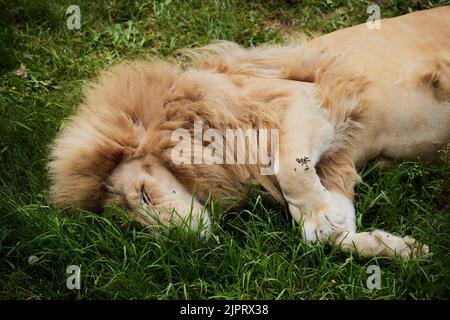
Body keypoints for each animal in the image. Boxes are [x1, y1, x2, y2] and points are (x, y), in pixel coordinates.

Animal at [47, 6, 448, 258]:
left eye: (144, 196)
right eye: (132, 225)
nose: (179, 245)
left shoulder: (309, 97)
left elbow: (289, 168)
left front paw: (321, 219)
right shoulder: (338, 158)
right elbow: (336, 234)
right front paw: (401, 249)